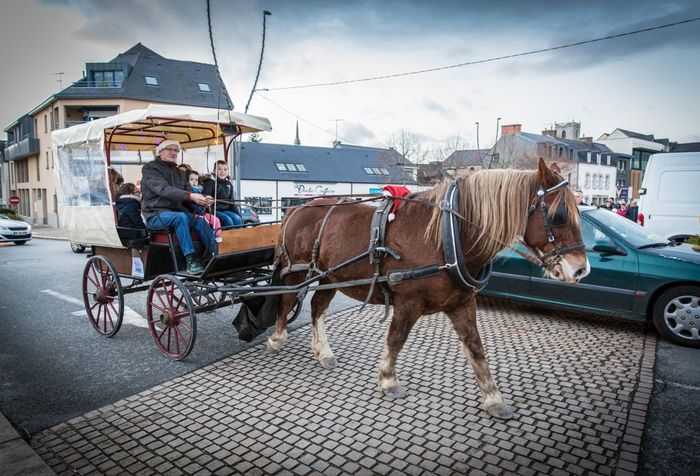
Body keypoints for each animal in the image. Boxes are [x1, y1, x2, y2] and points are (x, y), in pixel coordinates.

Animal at [266, 159, 588, 416]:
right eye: (559, 214)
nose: (581, 269)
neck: (447, 236)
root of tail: (297, 209)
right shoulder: (408, 302)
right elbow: (396, 339)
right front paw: (388, 380)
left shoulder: (462, 304)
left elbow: (476, 348)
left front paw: (493, 398)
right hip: (298, 273)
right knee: (286, 301)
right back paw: (277, 338)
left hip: (330, 276)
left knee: (317, 308)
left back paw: (323, 352)